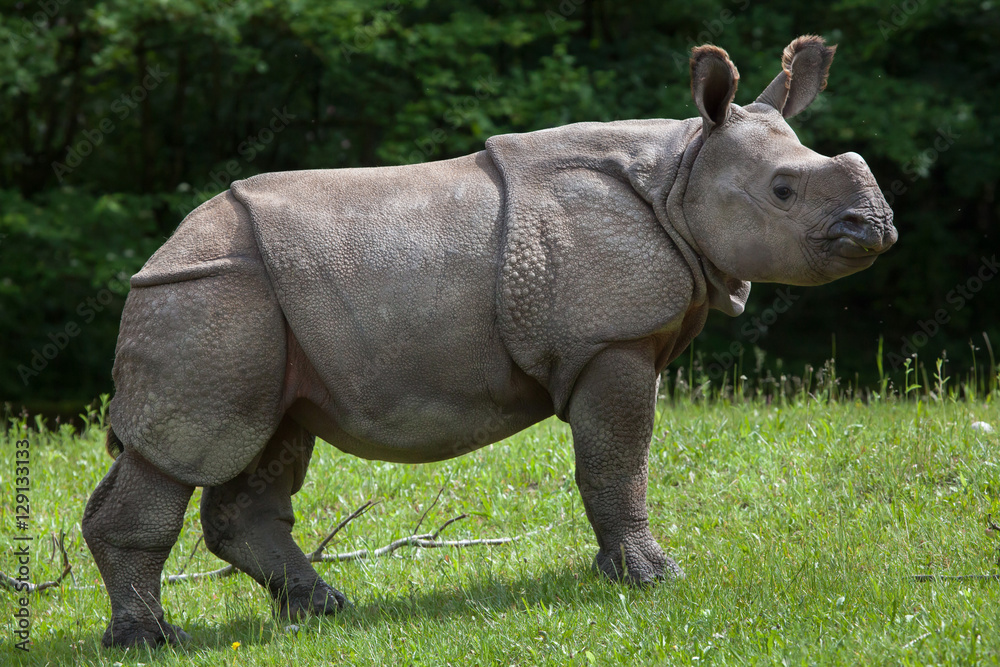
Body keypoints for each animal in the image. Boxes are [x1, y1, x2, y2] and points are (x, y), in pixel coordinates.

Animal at [82, 35, 896, 648]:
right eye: (784, 191)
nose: (878, 227)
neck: (681, 173)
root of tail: (155, 258)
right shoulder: (611, 338)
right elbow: (617, 461)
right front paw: (650, 577)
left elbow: (615, 461)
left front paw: (632, 571)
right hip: (209, 296)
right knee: (190, 446)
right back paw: (151, 641)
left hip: (251, 305)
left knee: (267, 436)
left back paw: (323, 611)